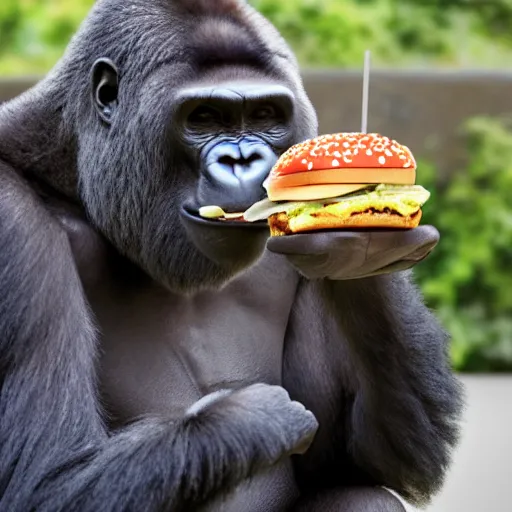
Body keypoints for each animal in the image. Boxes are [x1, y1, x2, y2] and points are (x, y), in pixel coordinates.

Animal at [0, 0, 464, 510]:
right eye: (202, 117)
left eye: (265, 114)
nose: (242, 160)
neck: (74, 175)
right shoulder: (12, 223)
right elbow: (47, 476)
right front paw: (256, 417)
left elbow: (363, 463)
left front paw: (362, 258)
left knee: (364, 495)